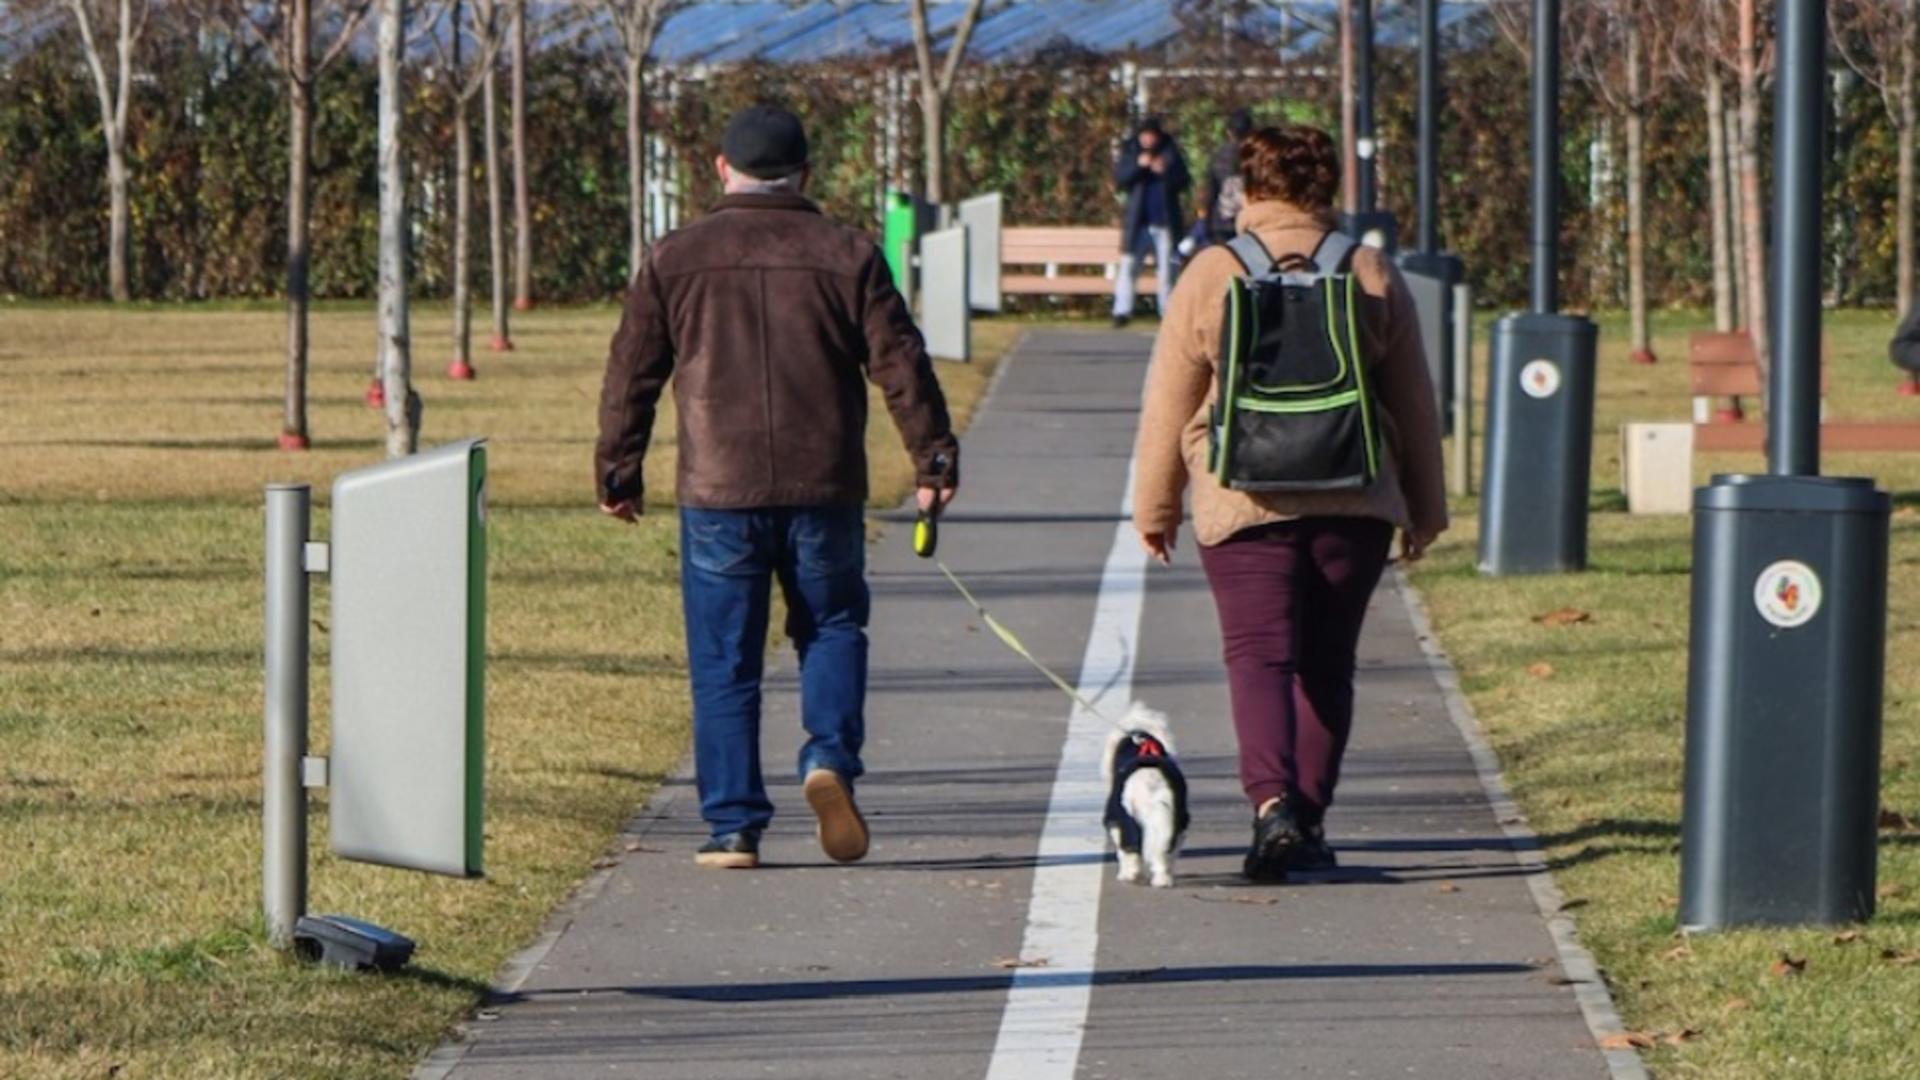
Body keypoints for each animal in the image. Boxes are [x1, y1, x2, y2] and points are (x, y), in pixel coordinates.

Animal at [1105, 703, 1190, 887]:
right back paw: (1163, 880)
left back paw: (1129, 875)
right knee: (1165, 854)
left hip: (1125, 818)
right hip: (1178, 822)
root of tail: (1152, 785)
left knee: (1131, 850)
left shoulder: (1116, 819)